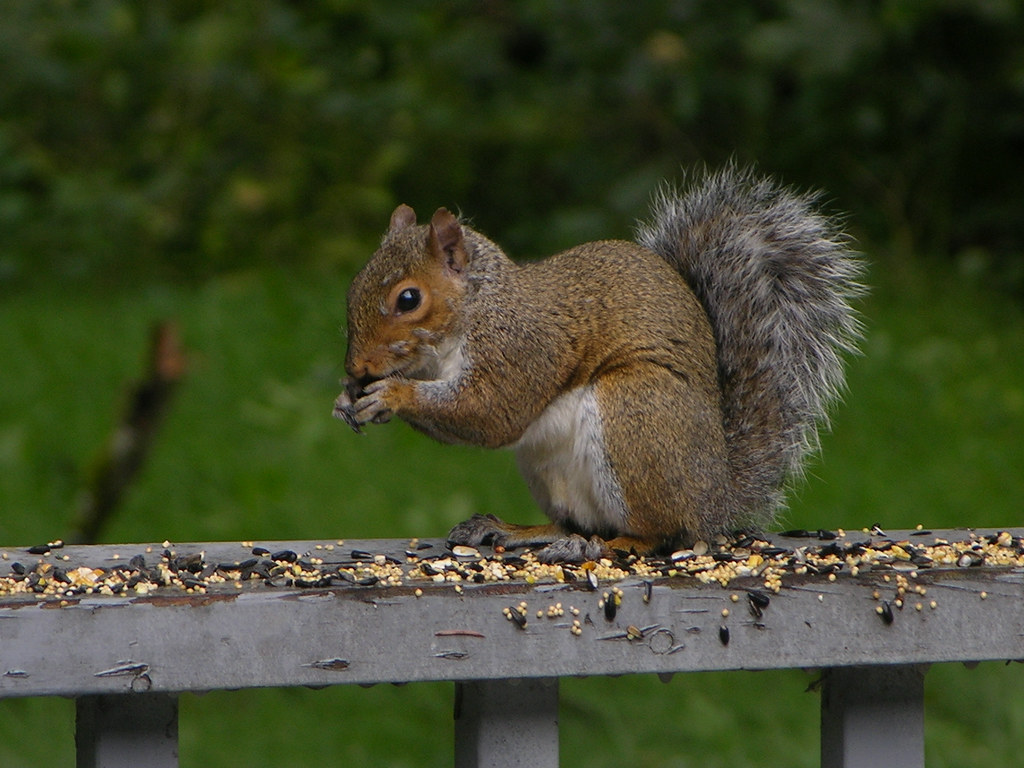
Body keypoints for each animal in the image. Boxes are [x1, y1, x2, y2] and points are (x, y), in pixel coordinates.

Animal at [334, 165, 864, 563]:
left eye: (408, 299)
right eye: (355, 283)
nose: (357, 368)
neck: (476, 309)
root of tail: (716, 496)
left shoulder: (523, 348)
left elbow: (492, 412)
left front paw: (393, 395)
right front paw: (346, 399)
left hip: (635, 413)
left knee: (660, 533)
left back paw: (606, 545)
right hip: (550, 468)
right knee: (578, 520)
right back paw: (522, 530)